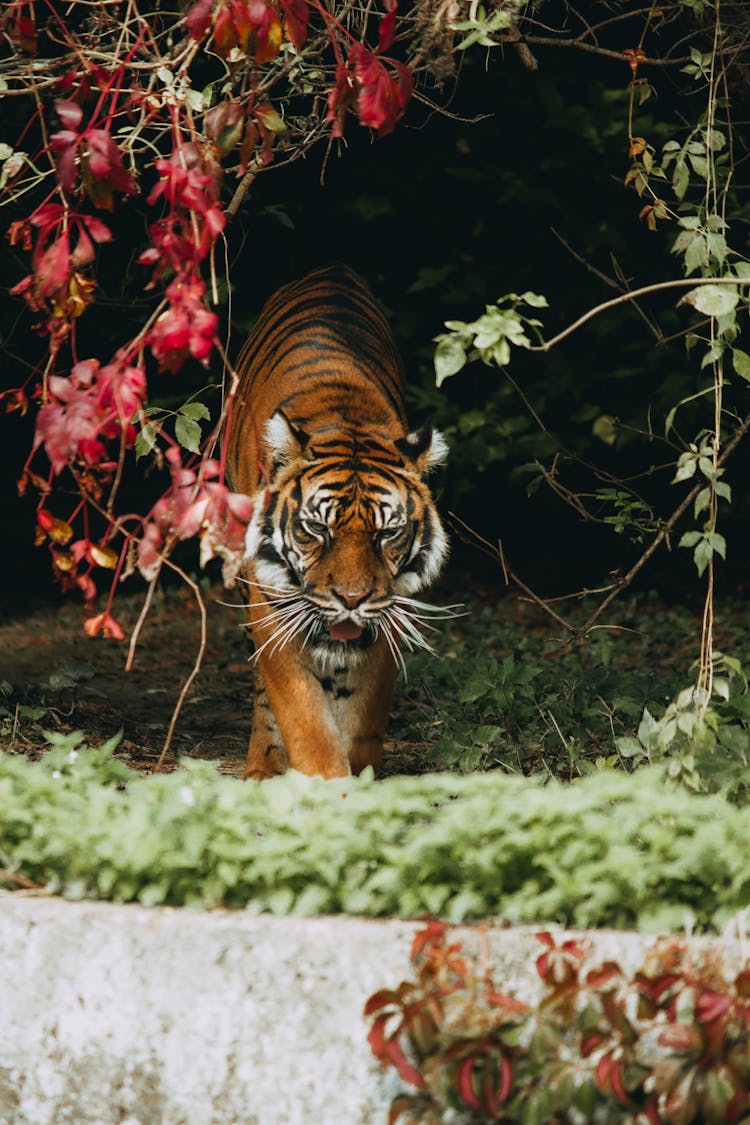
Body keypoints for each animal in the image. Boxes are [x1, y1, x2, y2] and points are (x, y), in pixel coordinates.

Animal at [226, 261, 449, 783]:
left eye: (387, 533)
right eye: (317, 529)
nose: (351, 599)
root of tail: (331, 268)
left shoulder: (388, 608)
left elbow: (364, 711)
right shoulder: (271, 601)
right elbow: (301, 710)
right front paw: (327, 783)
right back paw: (263, 766)